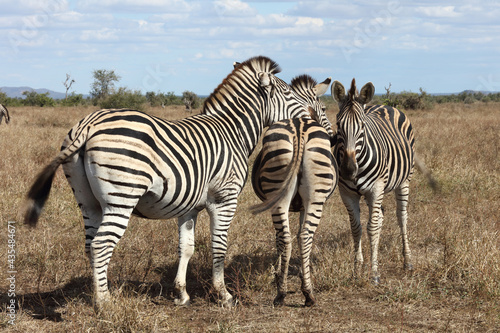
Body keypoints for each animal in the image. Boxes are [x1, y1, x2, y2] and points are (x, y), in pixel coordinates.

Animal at [250, 116, 340, 306]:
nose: (334, 137)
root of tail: (299, 128)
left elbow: (284, 237)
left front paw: (281, 272)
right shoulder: (303, 207)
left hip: (280, 192)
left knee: (289, 237)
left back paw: (284, 293)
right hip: (313, 197)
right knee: (303, 236)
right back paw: (305, 293)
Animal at [330, 78, 416, 282]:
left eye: (362, 126)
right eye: (338, 124)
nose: (348, 169)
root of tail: (384, 105)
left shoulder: (376, 189)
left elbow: (372, 227)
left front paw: (374, 273)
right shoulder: (347, 194)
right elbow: (356, 228)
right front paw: (357, 269)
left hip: (404, 181)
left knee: (402, 217)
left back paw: (407, 261)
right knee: (381, 215)